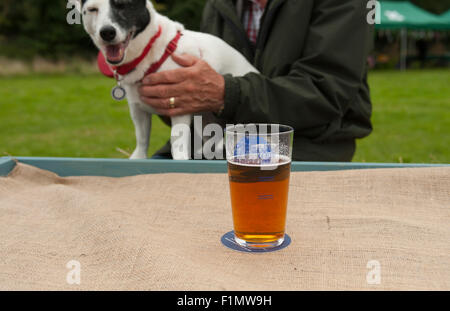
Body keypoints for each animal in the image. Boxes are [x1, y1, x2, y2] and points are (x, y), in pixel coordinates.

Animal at [77, 0, 256, 160]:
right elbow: (142, 138)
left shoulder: (180, 105)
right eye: (92, 9)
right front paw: (138, 156)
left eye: (122, 4)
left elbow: (177, 140)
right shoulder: (138, 109)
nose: (107, 32)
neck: (150, 51)